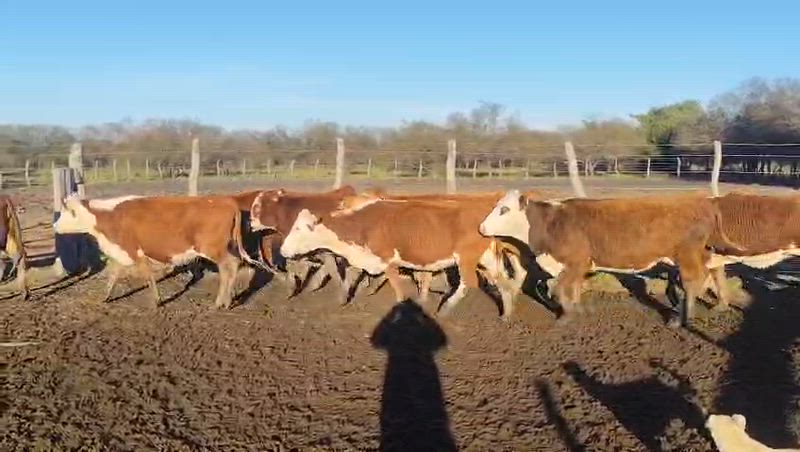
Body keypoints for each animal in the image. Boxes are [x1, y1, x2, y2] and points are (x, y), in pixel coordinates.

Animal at [53, 194, 268, 309]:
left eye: (65, 214)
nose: (54, 226)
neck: (111, 216)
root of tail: (226, 201)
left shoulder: (134, 251)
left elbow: (147, 276)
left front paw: (156, 301)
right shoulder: (123, 252)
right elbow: (114, 276)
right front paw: (104, 297)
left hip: (213, 249)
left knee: (228, 268)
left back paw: (219, 302)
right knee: (231, 268)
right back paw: (226, 301)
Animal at [280, 195, 533, 321]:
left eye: (300, 229)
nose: (282, 250)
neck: (364, 224)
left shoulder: (388, 260)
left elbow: (395, 285)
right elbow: (359, 276)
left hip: (466, 259)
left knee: (468, 284)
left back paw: (446, 309)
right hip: (487, 257)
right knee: (501, 281)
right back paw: (506, 313)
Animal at [479, 190, 742, 327]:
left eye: (504, 210)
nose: (481, 228)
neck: (552, 223)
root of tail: (703, 203)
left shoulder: (575, 262)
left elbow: (559, 289)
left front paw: (565, 316)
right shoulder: (578, 266)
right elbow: (572, 288)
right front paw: (577, 309)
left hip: (686, 256)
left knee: (692, 282)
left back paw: (681, 318)